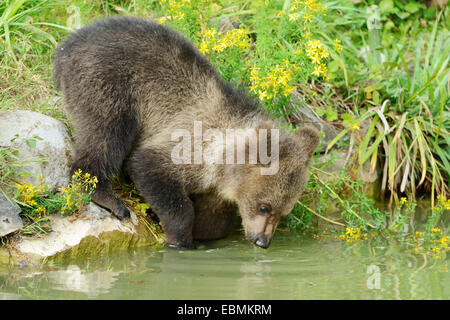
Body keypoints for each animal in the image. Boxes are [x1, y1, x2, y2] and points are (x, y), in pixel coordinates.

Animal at [53, 16, 320, 249]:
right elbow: (148, 168)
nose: (262, 241)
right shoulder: (188, 144)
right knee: (106, 133)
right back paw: (108, 197)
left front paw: (202, 235)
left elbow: (213, 221)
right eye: (265, 206)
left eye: (284, 210)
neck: (223, 166)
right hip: (107, 81)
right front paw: (179, 239)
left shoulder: (216, 189)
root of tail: (68, 44)